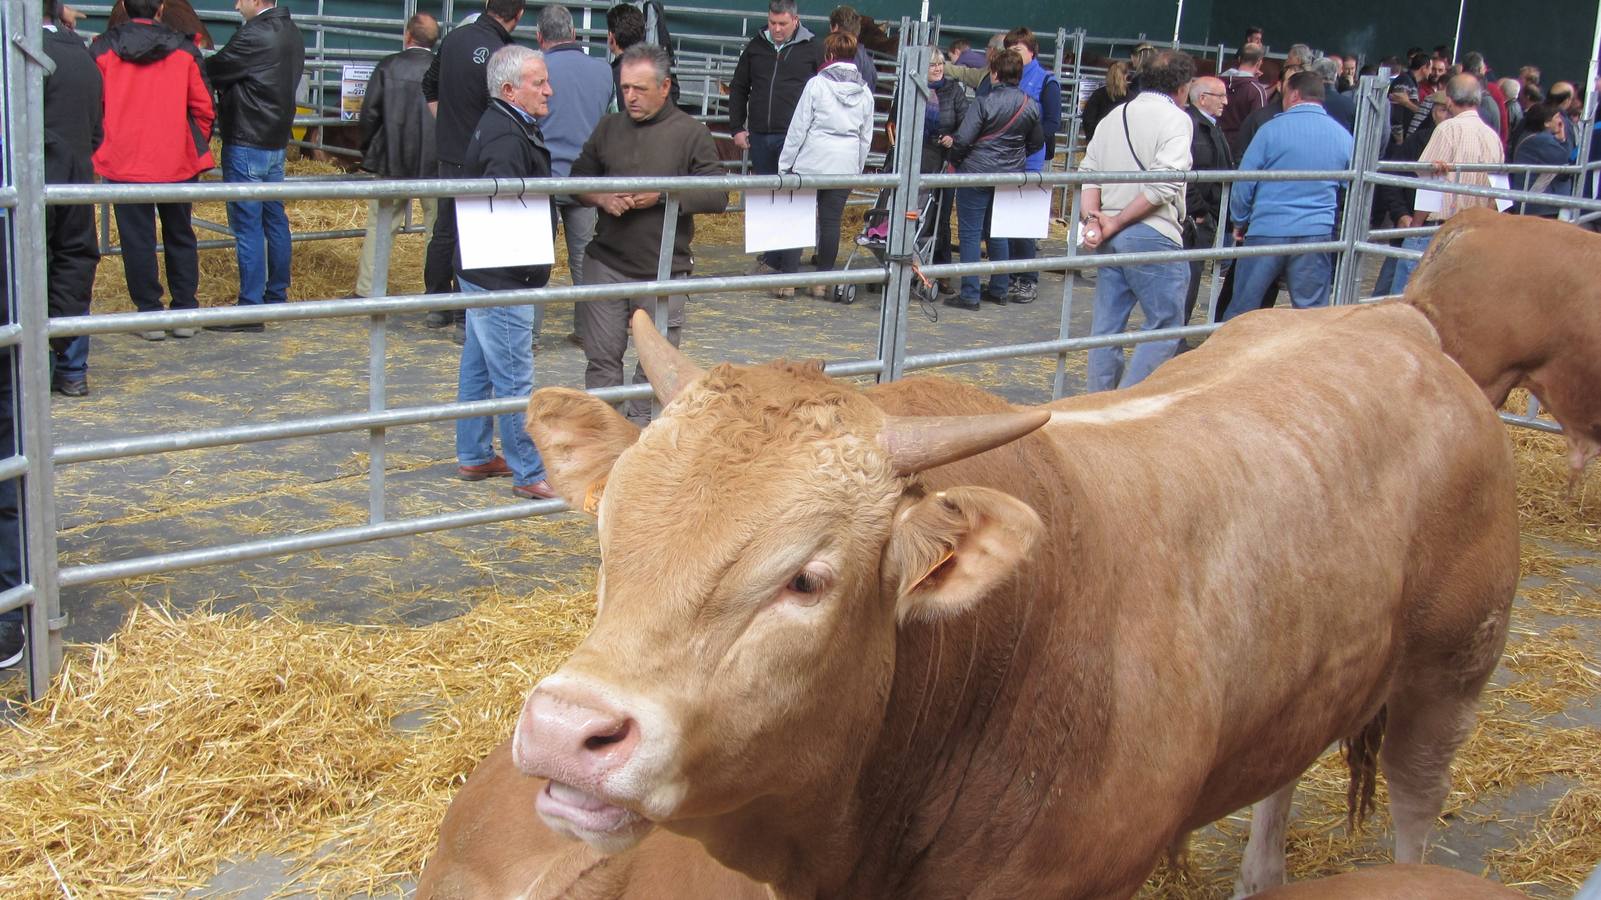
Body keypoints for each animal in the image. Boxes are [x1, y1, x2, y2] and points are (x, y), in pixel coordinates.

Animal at [451, 302, 1511, 896]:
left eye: (805, 579)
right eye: (608, 536)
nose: (565, 731)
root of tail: (1394, 326)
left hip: (1454, 664)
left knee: (1417, 798)